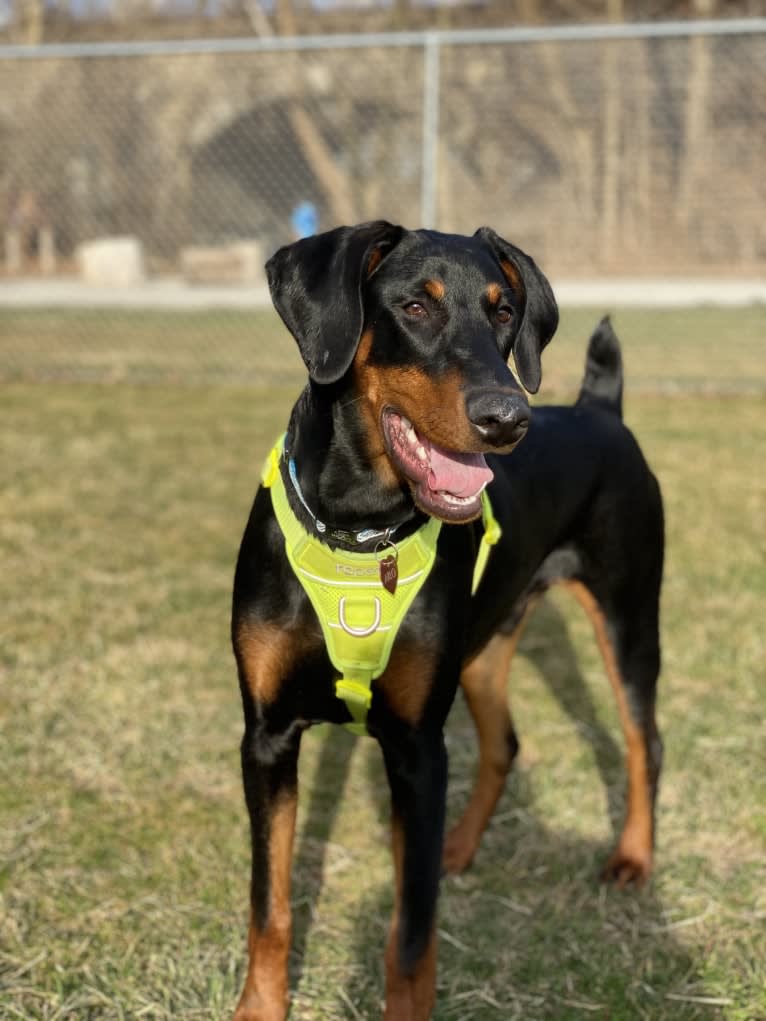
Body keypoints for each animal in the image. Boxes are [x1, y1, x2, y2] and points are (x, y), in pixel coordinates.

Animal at [229, 219, 665, 1016]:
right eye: (415, 306)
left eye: (504, 310)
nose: (507, 418)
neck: (361, 531)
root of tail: (600, 408)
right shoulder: (268, 735)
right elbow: (269, 906)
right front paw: (259, 1007)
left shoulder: (416, 746)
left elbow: (410, 935)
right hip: (485, 646)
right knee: (506, 742)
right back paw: (461, 846)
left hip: (628, 616)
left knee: (643, 740)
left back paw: (631, 858)